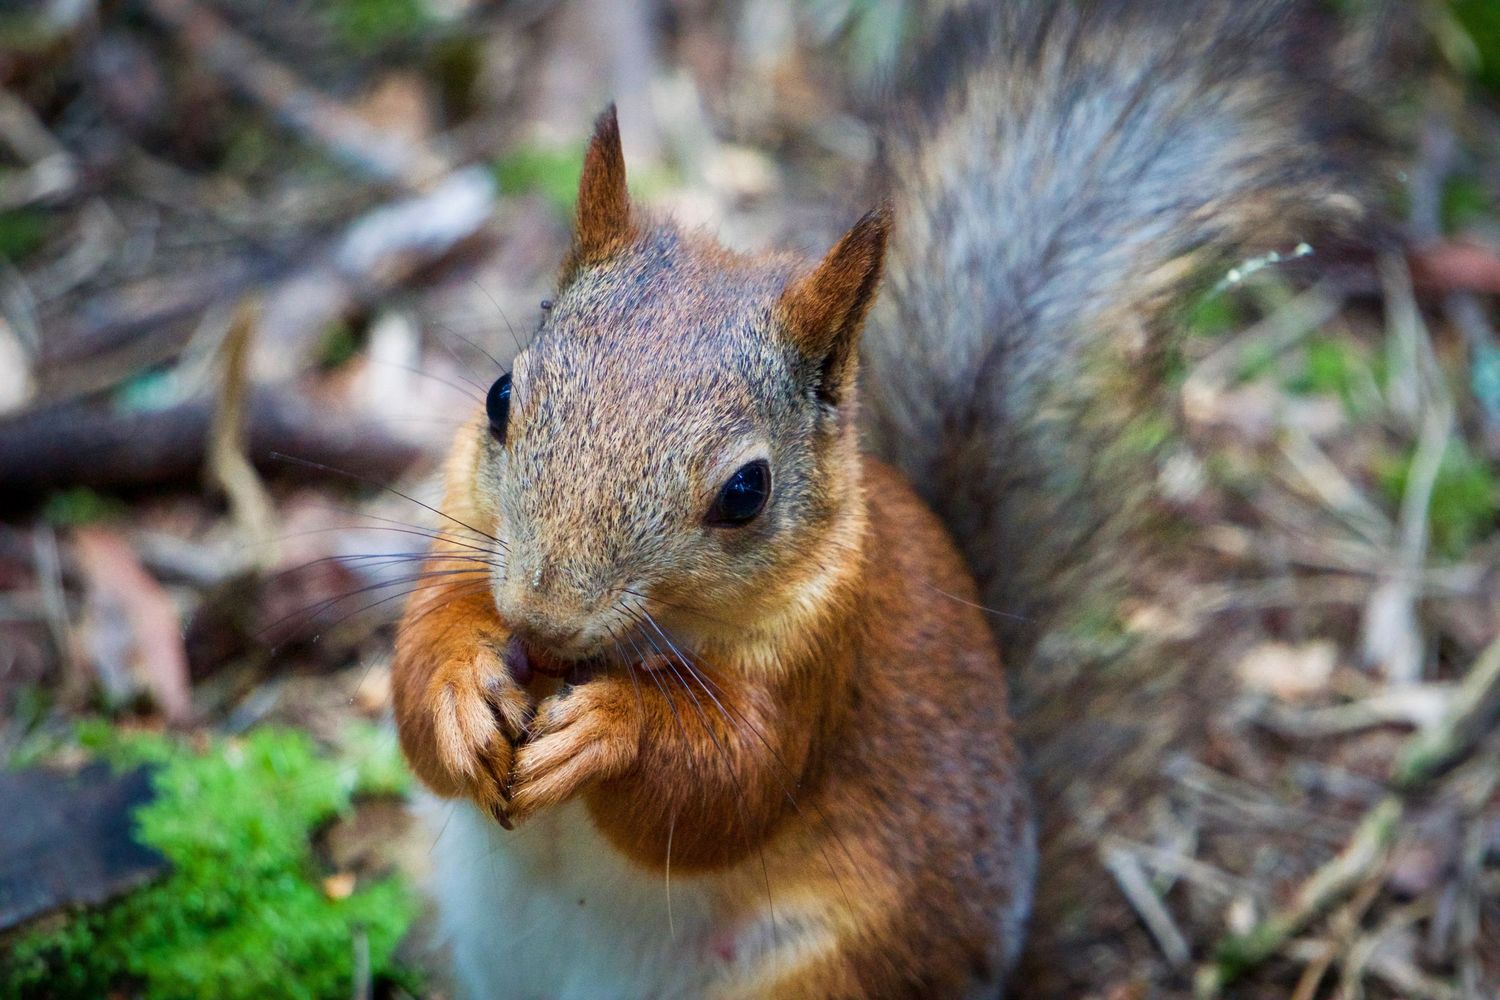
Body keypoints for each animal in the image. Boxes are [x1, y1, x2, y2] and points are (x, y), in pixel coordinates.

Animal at [393, 0, 1374, 996]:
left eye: (747, 491)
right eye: (499, 397)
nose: (544, 622)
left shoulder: (825, 653)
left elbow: (727, 788)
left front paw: (611, 726)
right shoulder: (462, 539)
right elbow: (414, 677)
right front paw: (462, 689)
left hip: (829, 973)